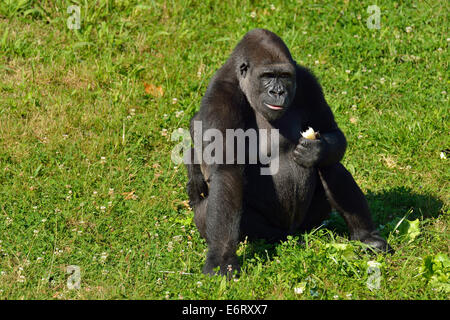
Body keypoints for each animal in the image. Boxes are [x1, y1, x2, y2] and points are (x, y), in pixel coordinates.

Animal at [185, 28, 392, 276]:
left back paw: (366, 237)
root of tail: (292, 232)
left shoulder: (307, 81)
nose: (278, 91)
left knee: (331, 165)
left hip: (308, 224)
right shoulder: (220, 98)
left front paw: (317, 150)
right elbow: (226, 173)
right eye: (267, 76)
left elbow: (330, 129)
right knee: (212, 209)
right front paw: (222, 258)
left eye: (284, 76)